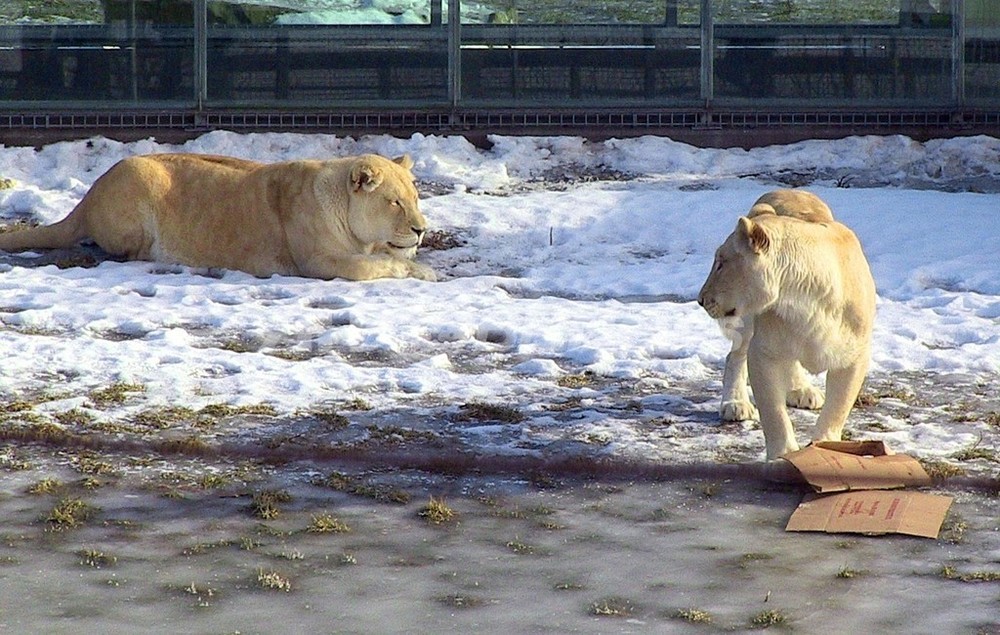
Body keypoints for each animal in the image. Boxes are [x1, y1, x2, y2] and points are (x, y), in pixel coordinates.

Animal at [0, 152, 438, 280]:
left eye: (416, 198)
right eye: (395, 203)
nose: (421, 230)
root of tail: (89, 195)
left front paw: (419, 267)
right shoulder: (316, 262)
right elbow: (367, 267)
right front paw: (411, 270)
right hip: (140, 183)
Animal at [700, 189, 872, 462]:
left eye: (721, 263)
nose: (701, 299)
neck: (803, 299)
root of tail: (786, 190)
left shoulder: (855, 356)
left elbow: (838, 408)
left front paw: (824, 445)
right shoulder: (763, 352)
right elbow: (773, 414)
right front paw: (781, 456)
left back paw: (803, 392)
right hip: (746, 325)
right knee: (734, 356)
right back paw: (735, 404)